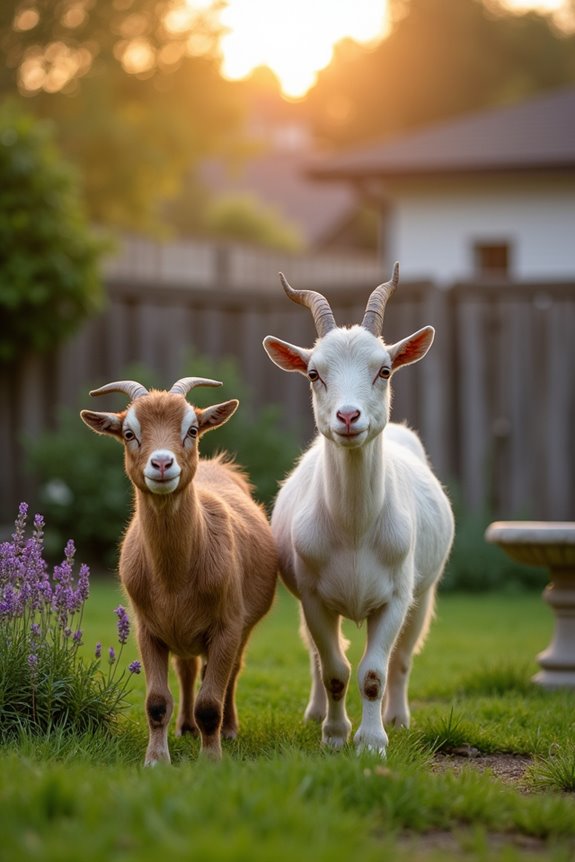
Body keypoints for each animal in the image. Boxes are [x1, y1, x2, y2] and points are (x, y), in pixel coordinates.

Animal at [80, 377, 277, 764]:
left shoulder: (227, 624)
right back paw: (185, 726)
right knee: (187, 670)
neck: (174, 580)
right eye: (129, 433)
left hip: (243, 625)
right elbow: (157, 702)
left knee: (231, 673)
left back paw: (228, 729)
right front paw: (157, 759)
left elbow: (210, 703)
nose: (161, 463)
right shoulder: (147, 629)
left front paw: (212, 759)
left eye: (193, 429)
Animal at [262, 265, 454, 755]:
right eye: (314, 373)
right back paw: (316, 714)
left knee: (403, 657)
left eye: (384, 370)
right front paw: (333, 736)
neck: (353, 531)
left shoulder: (396, 596)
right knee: (316, 656)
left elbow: (373, 673)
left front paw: (372, 742)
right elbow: (334, 669)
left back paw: (398, 717)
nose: (348, 418)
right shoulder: (313, 596)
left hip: (425, 592)